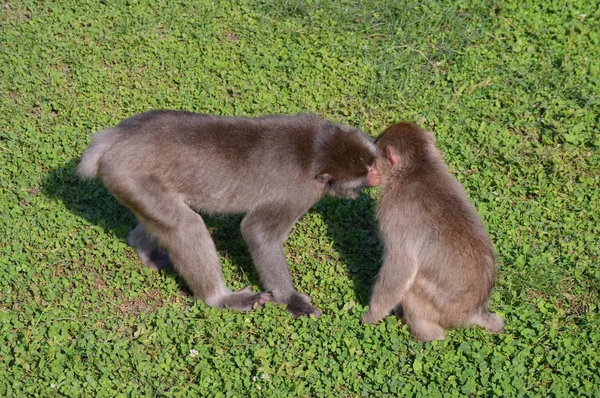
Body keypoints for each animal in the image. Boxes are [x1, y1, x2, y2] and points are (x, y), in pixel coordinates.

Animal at [78, 110, 380, 318]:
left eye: (372, 164)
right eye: (366, 172)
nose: (379, 175)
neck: (316, 149)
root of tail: (117, 136)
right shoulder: (299, 192)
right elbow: (257, 231)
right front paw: (289, 298)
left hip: (131, 184)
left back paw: (143, 248)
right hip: (127, 174)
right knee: (186, 225)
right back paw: (218, 298)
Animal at [364, 123, 504, 340]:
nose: (371, 171)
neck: (416, 168)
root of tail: (476, 311)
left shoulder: (392, 210)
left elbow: (401, 265)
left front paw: (371, 315)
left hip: (441, 306)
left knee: (413, 289)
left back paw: (430, 336)